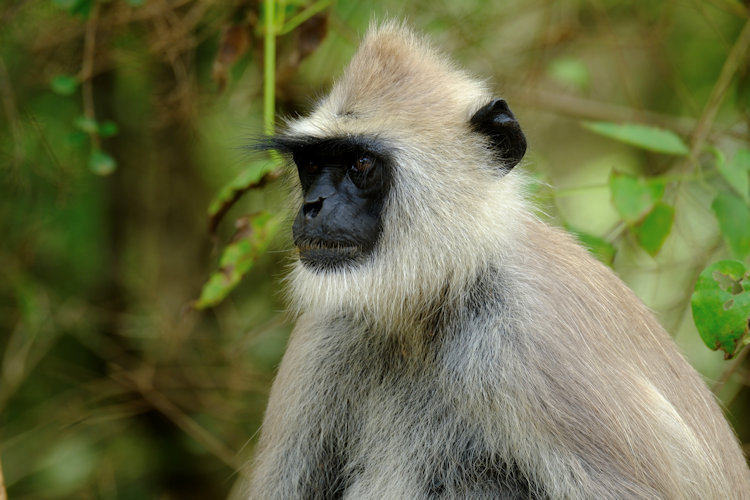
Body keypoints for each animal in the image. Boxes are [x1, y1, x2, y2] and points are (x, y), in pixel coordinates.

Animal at [243, 21, 750, 499]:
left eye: (361, 164)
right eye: (312, 165)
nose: (313, 206)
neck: (429, 311)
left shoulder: (531, 335)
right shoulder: (329, 329)